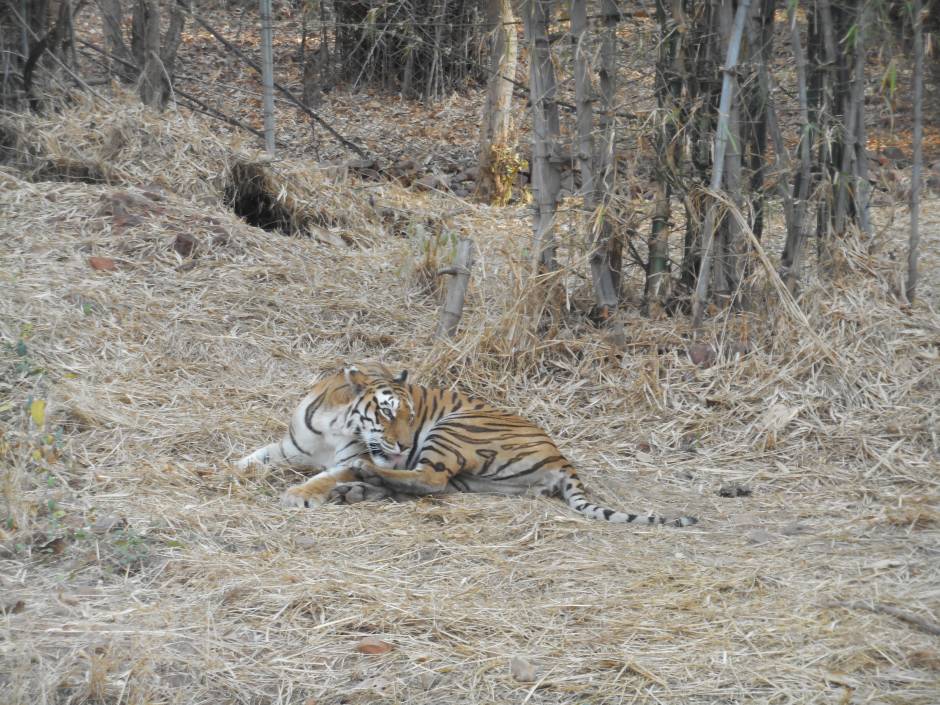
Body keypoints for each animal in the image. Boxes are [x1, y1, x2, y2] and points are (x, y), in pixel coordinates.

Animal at [280, 368, 696, 524]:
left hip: (454, 429)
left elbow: (328, 473)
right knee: (425, 486)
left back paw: (360, 479)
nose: (401, 442)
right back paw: (355, 491)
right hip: (476, 477)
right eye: (387, 412)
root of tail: (560, 456)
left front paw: (302, 493)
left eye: (411, 416)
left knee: (428, 480)